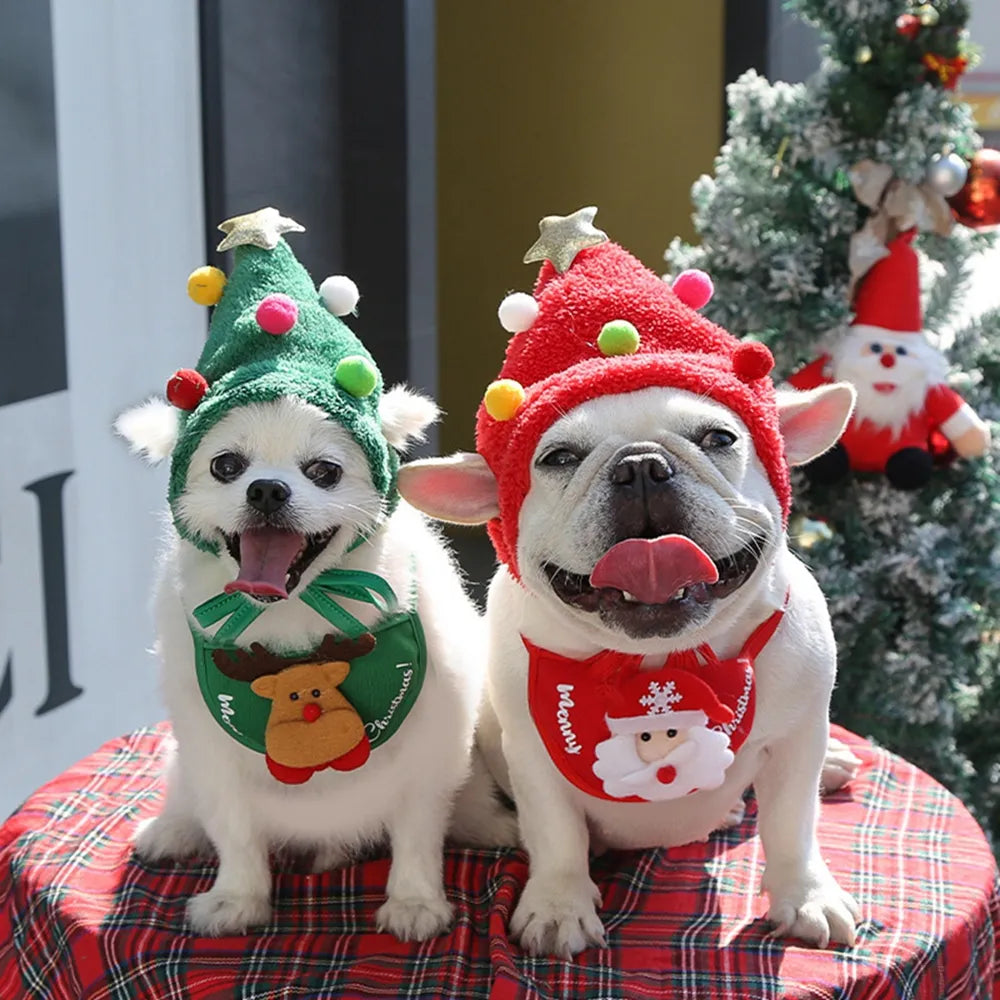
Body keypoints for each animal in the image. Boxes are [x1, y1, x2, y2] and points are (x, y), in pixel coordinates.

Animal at [115, 388, 516, 936]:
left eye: (324, 471)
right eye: (226, 466)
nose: (266, 490)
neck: (294, 617)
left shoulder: (431, 746)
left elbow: (418, 830)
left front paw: (415, 902)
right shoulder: (210, 749)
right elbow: (233, 829)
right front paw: (237, 897)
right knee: (187, 796)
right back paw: (172, 829)